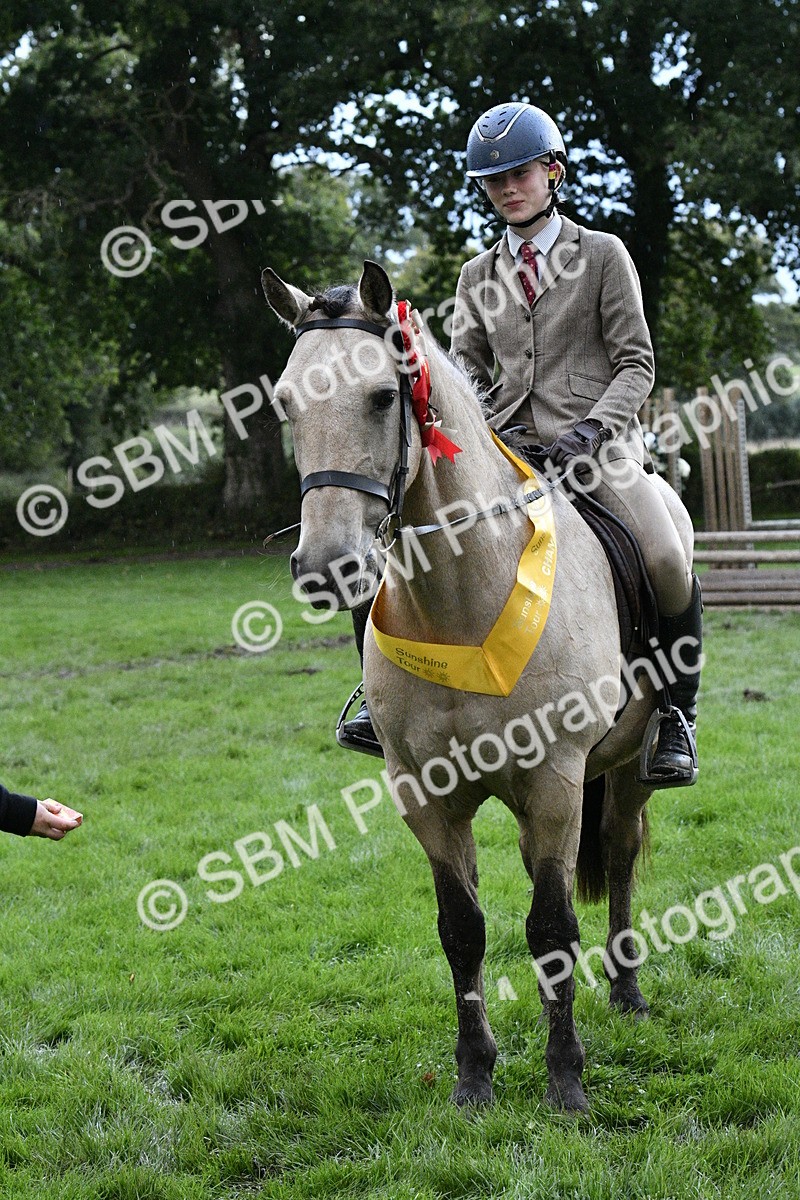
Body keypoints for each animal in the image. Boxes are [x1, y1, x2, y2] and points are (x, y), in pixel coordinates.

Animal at [261, 259, 694, 1113]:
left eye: (382, 397)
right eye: (288, 402)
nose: (327, 567)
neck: (464, 600)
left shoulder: (555, 780)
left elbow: (552, 927)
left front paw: (566, 1081)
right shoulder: (425, 793)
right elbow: (463, 929)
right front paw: (474, 1075)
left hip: (624, 766)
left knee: (620, 853)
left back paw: (627, 991)